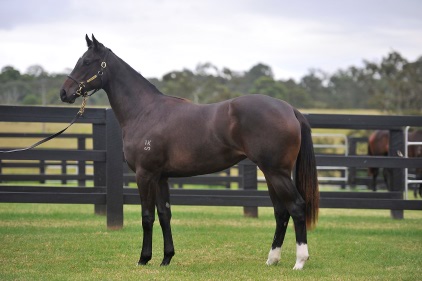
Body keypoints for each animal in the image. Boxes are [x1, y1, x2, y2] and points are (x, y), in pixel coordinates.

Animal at [58, 35, 316, 270]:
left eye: (87, 61)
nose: (64, 93)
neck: (145, 111)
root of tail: (289, 109)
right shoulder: (161, 177)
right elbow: (164, 214)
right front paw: (166, 258)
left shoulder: (145, 174)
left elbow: (147, 216)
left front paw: (144, 259)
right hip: (270, 173)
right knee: (281, 212)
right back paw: (272, 259)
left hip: (277, 172)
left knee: (296, 207)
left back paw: (300, 261)